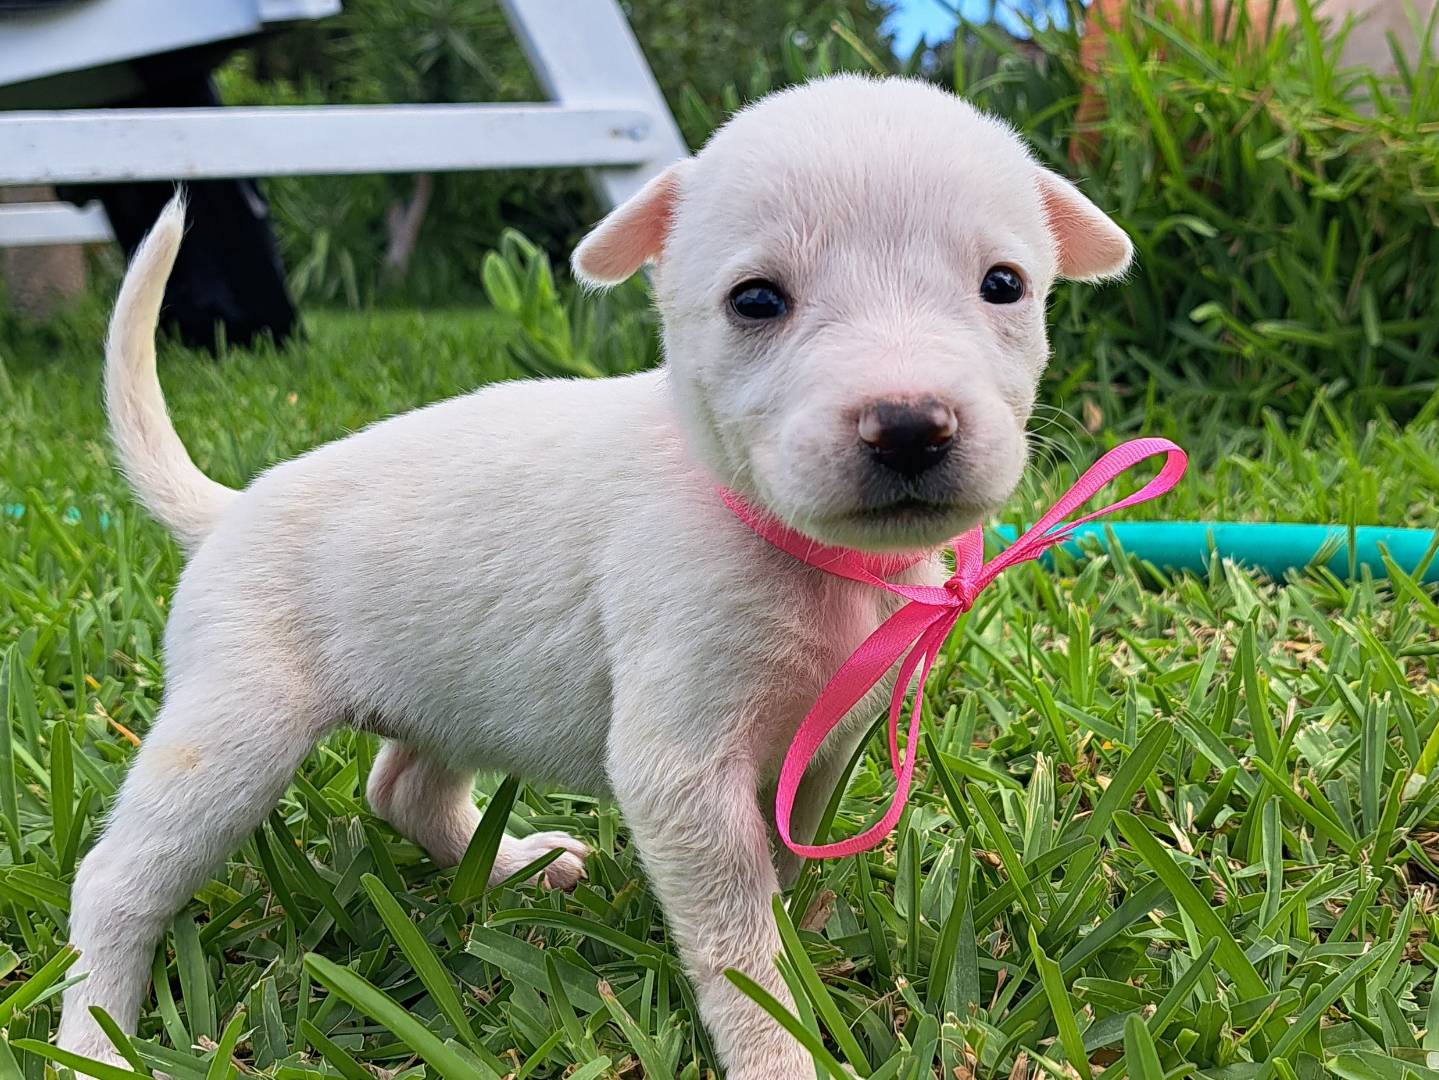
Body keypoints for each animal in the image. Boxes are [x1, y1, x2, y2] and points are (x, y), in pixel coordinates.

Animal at [56, 78, 1128, 1080]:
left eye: (1003, 284)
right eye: (755, 299)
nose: (909, 426)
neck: (778, 538)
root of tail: (228, 508)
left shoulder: (821, 745)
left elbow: (787, 861)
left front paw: (810, 933)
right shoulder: (680, 773)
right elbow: (737, 946)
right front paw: (778, 1044)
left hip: (450, 693)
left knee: (401, 789)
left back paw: (515, 872)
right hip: (235, 726)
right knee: (116, 880)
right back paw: (94, 1038)